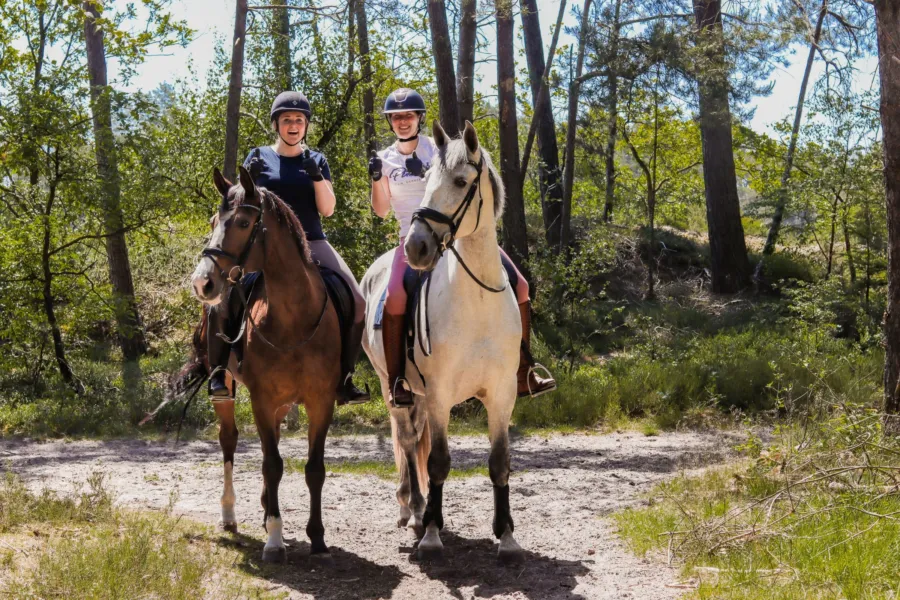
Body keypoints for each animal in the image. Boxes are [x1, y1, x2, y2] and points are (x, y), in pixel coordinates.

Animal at [190, 165, 342, 564]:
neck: (293, 318)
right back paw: (230, 514)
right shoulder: (261, 399)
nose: (202, 283)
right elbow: (272, 465)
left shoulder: (321, 401)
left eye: (244, 222)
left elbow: (314, 468)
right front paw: (275, 540)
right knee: (229, 441)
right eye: (213, 221)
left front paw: (317, 537)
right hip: (227, 388)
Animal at [362, 120, 524, 564]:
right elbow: (436, 461)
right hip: (391, 385)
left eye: (460, 181)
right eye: (429, 179)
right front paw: (433, 534)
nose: (417, 247)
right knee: (407, 438)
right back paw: (416, 511)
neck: (477, 303)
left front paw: (506, 536)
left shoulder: (502, 395)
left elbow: (499, 462)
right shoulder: (439, 395)